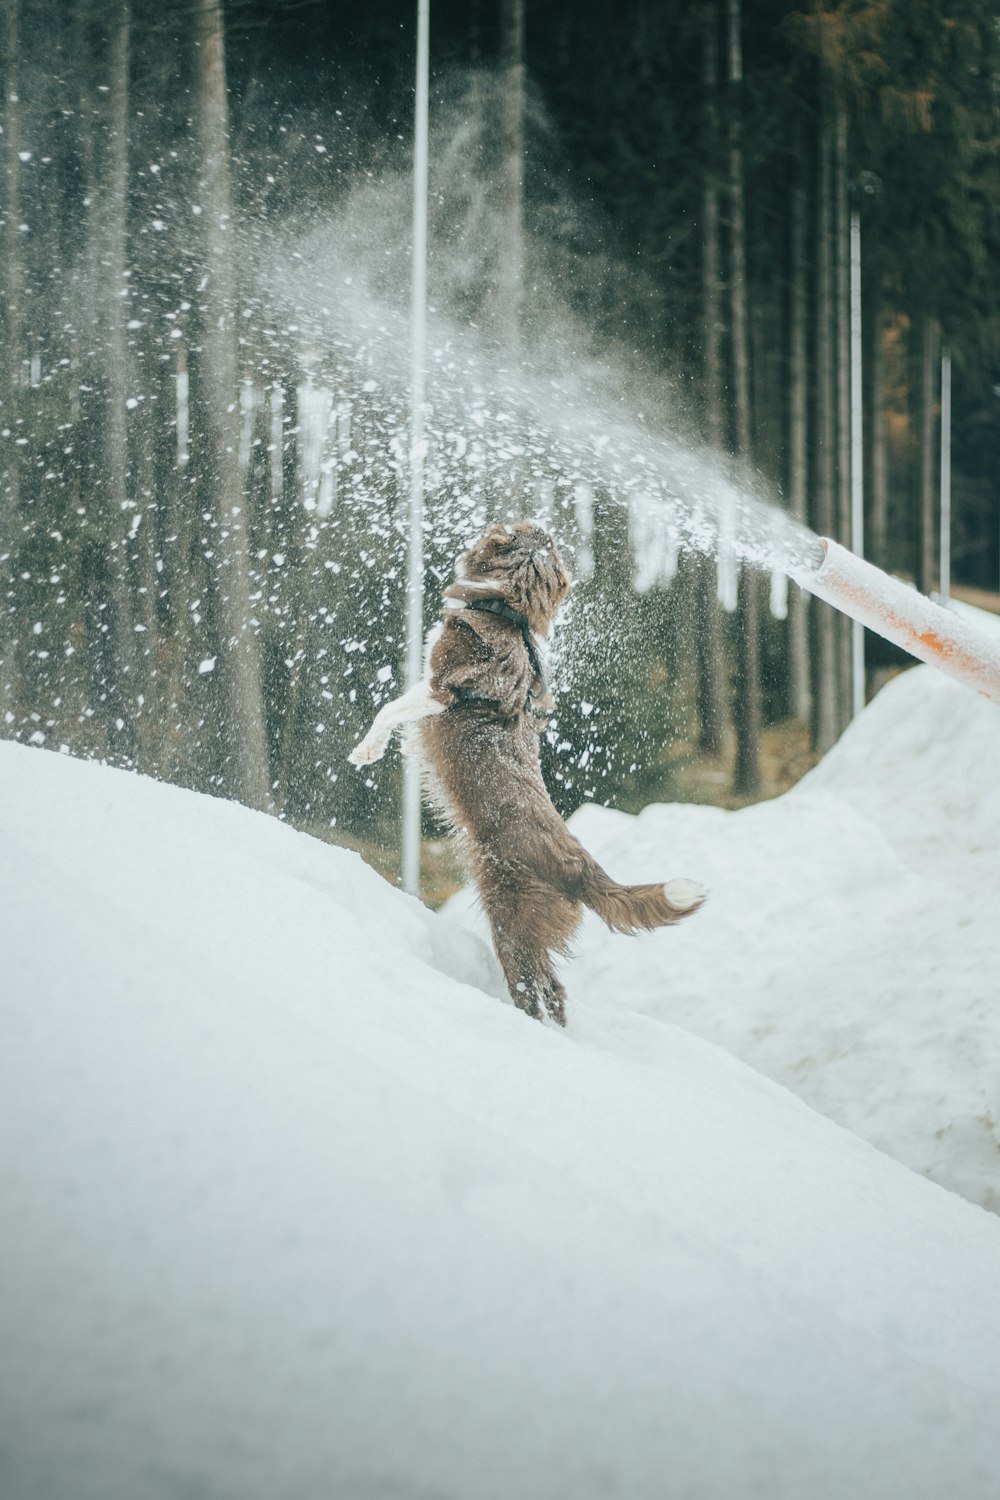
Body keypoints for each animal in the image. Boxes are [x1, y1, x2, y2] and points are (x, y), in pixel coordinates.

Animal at [347, 522, 707, 1026]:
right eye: (547, 543)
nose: (543, 526)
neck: (504, 608)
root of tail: (581, 867)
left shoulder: (439, 688)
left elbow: (389, 710)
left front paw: (366, 750)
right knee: (554, 993)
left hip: (509, 917)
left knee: (530, 990)